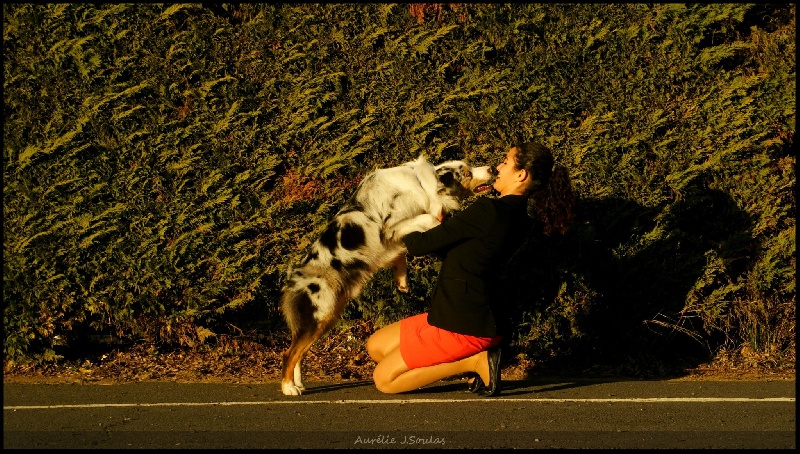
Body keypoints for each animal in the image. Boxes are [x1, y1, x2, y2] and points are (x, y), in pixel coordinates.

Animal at [280, 154, 494, 396]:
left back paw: (297, 383)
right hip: (319, 314)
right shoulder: (391, 226)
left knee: (299, 351)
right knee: (289, 353)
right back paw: (288, 388)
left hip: (326, 316)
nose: (492, 168)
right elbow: (428, 219)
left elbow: (401, 252)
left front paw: (401, 280)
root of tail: (294, 279)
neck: (422, 183)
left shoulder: (394, 235)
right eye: (466, 172)